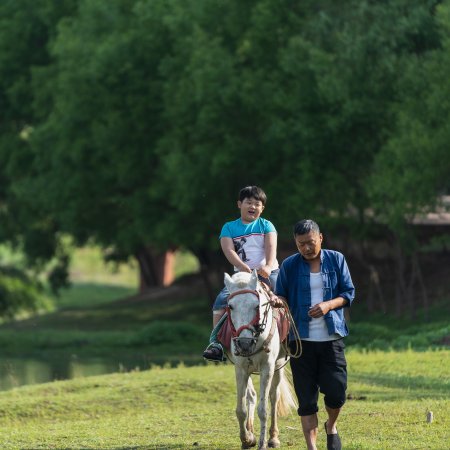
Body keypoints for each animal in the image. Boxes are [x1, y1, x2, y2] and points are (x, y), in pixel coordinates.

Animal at [222, 270, 298, 450]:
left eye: (257, 306)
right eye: (230, 306)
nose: (244, 343)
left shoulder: (267, 368)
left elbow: (263, 409)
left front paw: (262, 443)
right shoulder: (240, 369)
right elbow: (241, 410)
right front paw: (247, 439)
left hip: (278, 367)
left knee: (274, 397)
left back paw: (273, 437)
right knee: (251, 395)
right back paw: (250, 432)